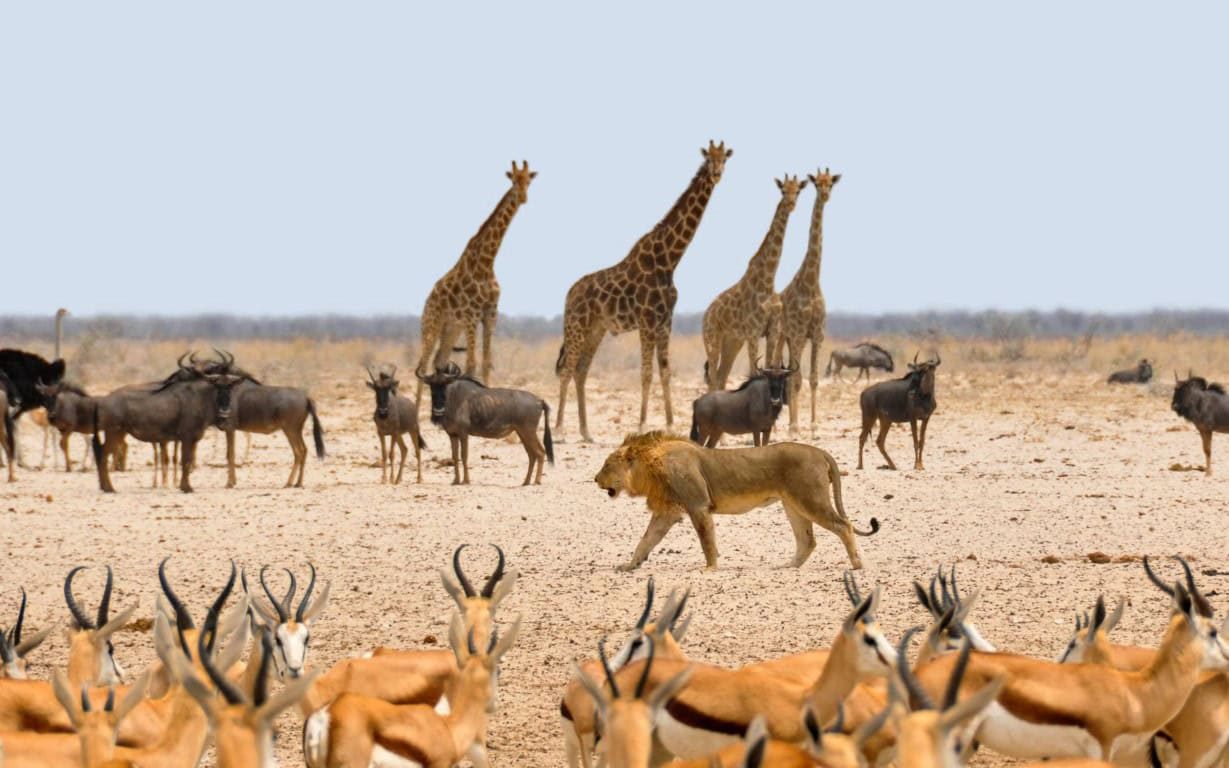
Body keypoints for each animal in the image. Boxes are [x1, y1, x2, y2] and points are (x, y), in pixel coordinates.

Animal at [415, 161, 536, 404]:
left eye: (529, 180)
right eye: (513, 180)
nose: (523, 198)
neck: (487, 262)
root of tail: (428, 300)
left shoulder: (490, 313)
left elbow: (486, 363)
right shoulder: (471, 314)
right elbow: (471, 364)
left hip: (451, 328)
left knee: (439, 361)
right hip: (432, 324)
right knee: (422, 365)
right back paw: (415, 411)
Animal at [555, 141, 732, 442]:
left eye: (725, 160)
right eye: (709, 159)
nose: (717, 174)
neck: (669, 260)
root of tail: (569, 294)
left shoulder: (664, 321)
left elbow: (666, 372)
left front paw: (671, 425)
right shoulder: (647, 321)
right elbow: (646, 373)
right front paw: (641, 425)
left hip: (596, 329)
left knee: (581, 371)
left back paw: (586, 432)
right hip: (576, 326)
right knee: (567, 369)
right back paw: (559, 430)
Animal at [594, 431, 880, 572]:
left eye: (607, 465)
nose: (595, 479)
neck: (650, 466)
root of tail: (820, 451)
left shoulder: (698, 505)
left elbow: (706, 540)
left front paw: (710, 568)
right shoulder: (668, 512)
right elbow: (646, 540)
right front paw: (630, 565)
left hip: (810, 499)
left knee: (844, 526)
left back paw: (857, 564)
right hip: (793, 505)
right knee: (807, 540)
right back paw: (788, 566)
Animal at [701, 174, 807, 391]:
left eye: (798, 190)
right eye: (783, 190)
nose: (791, 204)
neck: (768, 280)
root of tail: (705, 316)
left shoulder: (772, 331)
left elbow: (769, 366)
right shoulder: (753, 332)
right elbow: (753, 371)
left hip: (732, 341)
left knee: (722, 376)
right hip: (713, 339)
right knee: (713, 377)